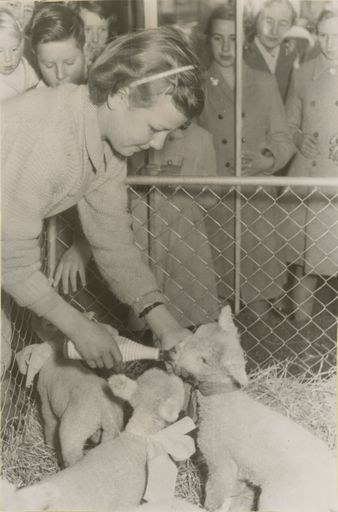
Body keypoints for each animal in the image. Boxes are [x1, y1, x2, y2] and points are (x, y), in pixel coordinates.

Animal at [172, 306, 338, 512]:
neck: (222, 403)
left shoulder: (219, 461)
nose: (174, 352)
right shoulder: (235, 469)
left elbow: (216, 493)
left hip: (279, 500)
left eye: (203, 360)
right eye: (197, 332)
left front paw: (209, 506)